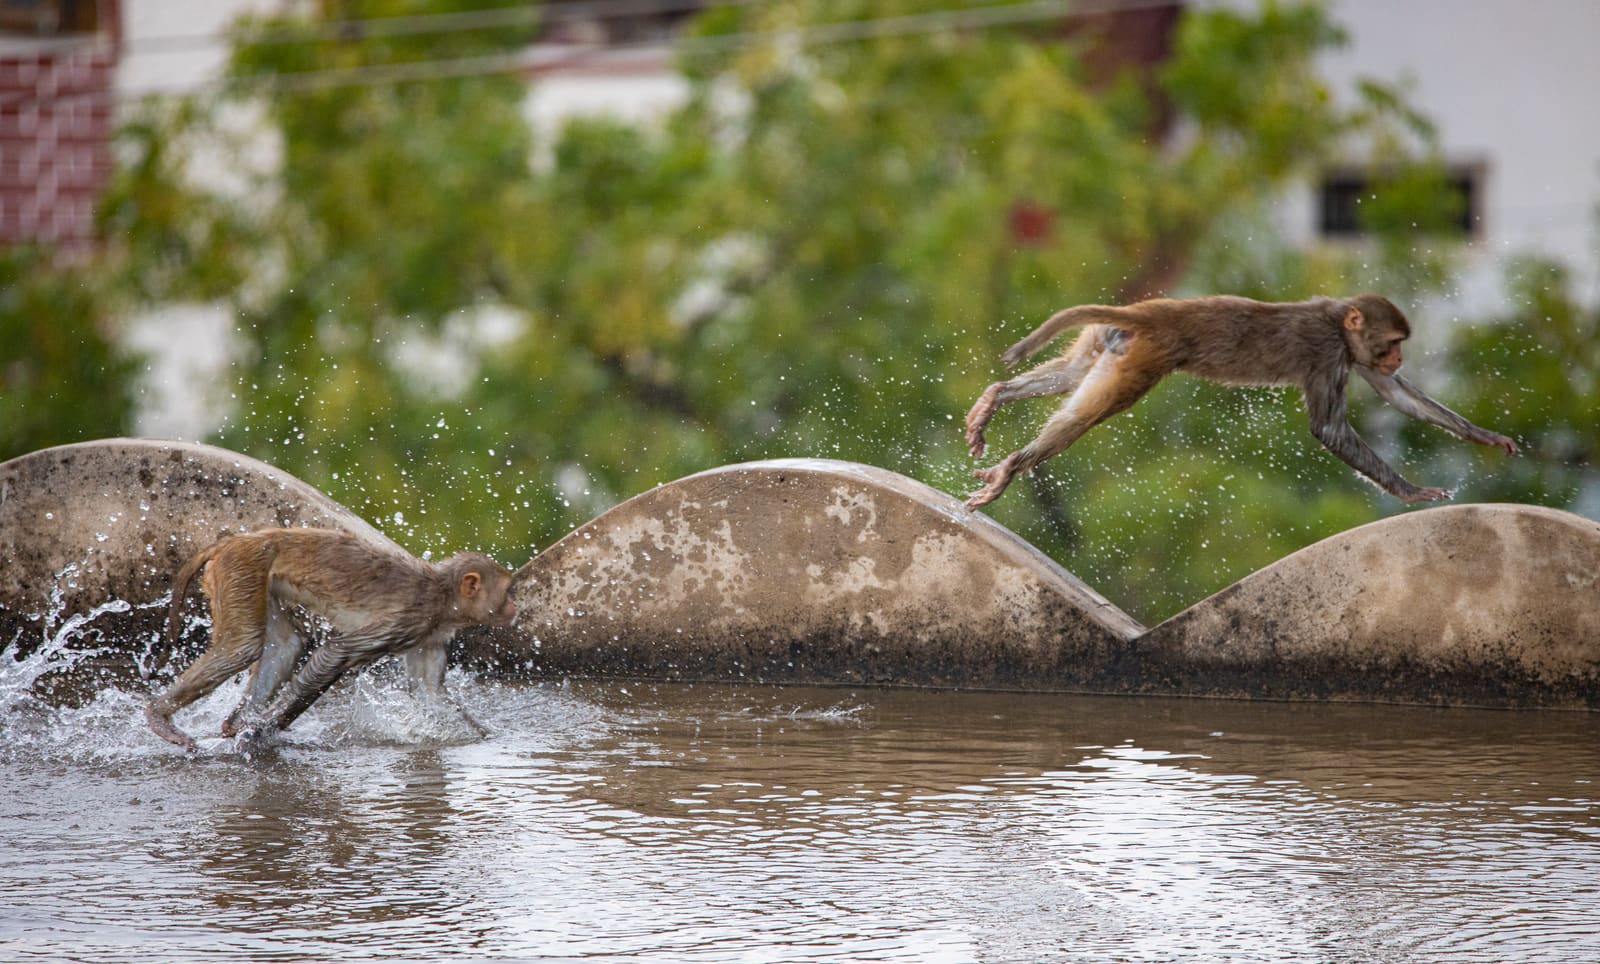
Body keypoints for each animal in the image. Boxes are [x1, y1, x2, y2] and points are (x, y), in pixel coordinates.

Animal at [145, 528, 517, 753]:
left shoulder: (430, 636)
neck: (442, 598)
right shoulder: (406, 619)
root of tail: (236, 540)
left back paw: (235, 722)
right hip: (243, 568)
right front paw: (263, 731)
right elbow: (335, 653)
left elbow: (431, 695)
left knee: (284, 646)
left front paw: (485, 736)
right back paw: (159, 715)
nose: (515, 606)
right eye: (508, 591)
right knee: (243, 646)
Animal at [963, 294, 1518, 510]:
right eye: (1395, 342)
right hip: (1144, 356)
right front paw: (1410, 491)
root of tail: (1151, 311)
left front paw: (1486, 436)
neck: (1339, 322)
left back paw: (994, 400)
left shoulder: (1354, 356)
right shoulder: (1327, 354)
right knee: (1088, 414)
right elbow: (1329, 430)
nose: (1399, 357)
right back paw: (1012, 467)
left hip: (1109, 341)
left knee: (1074, 379)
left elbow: (1398, 397)